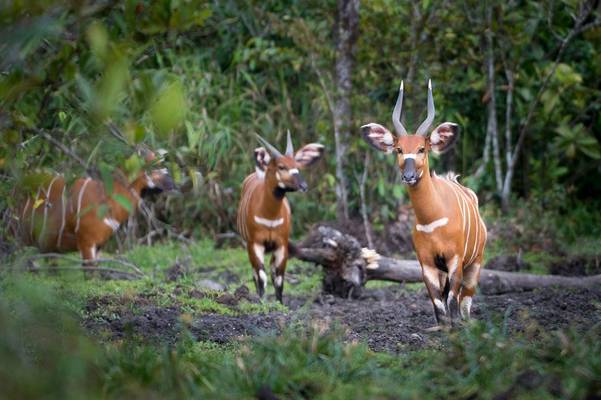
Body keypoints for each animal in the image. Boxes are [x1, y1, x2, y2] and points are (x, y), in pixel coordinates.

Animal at [14, 148, 173, 268]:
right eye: (153, 166)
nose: (172, 183)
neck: (105, 198)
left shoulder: (99, 245)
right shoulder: (86, 242)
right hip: (24, 241)